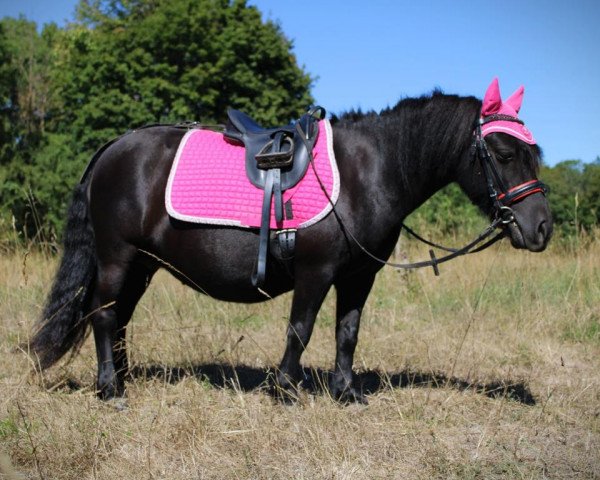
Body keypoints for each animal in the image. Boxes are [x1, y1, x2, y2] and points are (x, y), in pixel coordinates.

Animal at [29, 80, 552, 404]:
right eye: (504, 153)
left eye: (534, 151)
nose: (542, 227)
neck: (370, 171)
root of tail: (113, 147)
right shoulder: (315, 271)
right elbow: (300, 329)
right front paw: (285, 388)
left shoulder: (359, 276)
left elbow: (348, 332)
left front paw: (346, 392)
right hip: (118, 257)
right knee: (104, 314)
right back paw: (110, 389)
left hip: (142, 264)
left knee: (118, 318)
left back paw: (121, 378)